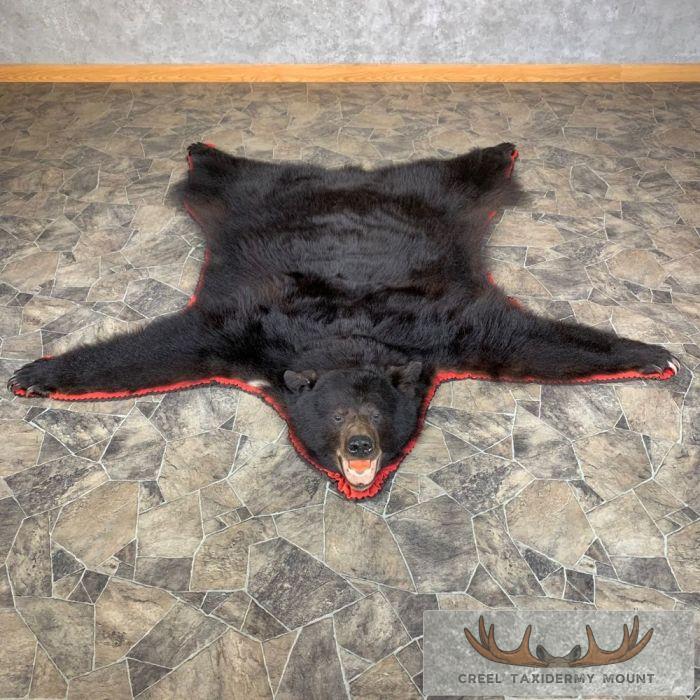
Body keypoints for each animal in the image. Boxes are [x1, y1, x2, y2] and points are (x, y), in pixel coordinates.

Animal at [8, 141, 679, 492]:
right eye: (334, 416)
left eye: (377, 415)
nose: (359, 443)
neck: (348, 336)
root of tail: (347, 177)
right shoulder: (246, 332)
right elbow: (163, 348)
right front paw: (39, 373)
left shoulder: (445, 328)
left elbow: (524, 340)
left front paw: (650, 354)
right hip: (256, 194)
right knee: (228, 173)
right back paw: (205, 151)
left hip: (434, 193)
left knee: (464, 170)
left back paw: (500, 151)